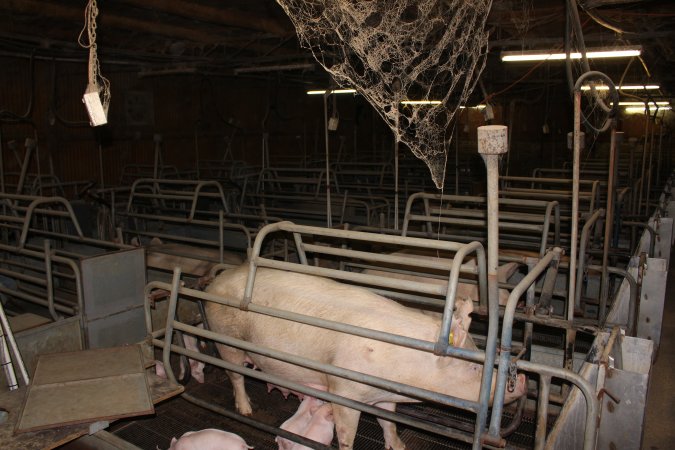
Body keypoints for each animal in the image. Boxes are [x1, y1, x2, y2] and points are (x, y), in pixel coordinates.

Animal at [206, 264, 528, 450]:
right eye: (474, 369)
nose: (523, 379)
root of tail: (216, 281)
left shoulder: (384, 395)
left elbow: (389, 422)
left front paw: (399, 446)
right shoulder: (343, 390)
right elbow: (347, 432)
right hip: (225, 340)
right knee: (235, 376)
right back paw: (247, 410)